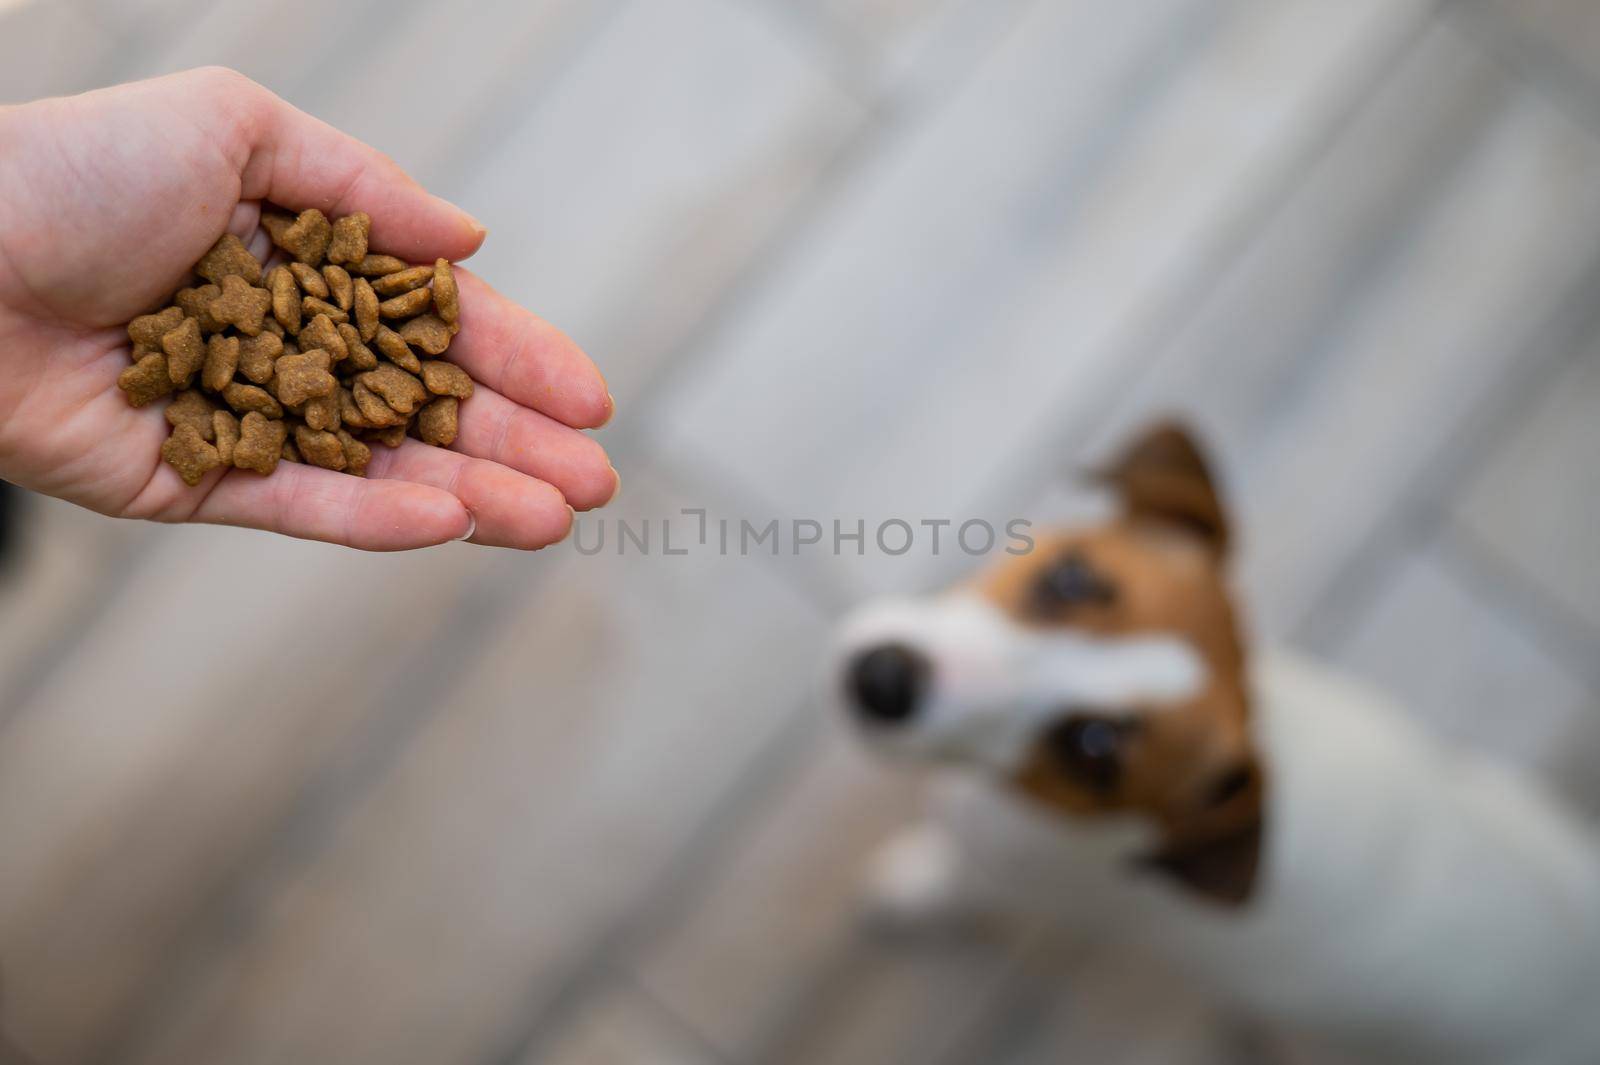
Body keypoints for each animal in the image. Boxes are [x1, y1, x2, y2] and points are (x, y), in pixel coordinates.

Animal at [832, 422, 1600, 1061]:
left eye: (1094, 748)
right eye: (1071, 577)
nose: (881, 680)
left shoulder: (1008, 869)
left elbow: (951, 880)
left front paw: (909, 889)